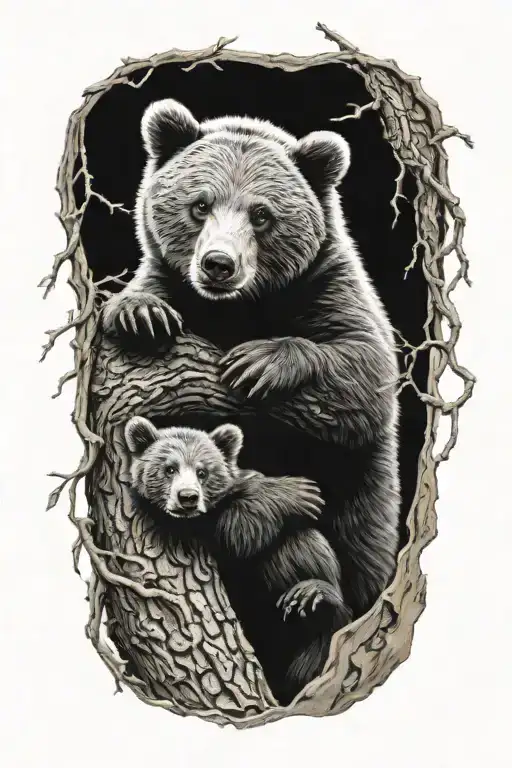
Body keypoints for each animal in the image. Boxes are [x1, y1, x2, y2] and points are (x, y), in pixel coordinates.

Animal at [124, 416, 352, 704]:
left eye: (202, 472)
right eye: (169, 469)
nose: (188, 498)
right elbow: (237, 535)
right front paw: (296, 492)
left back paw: (314, 597)